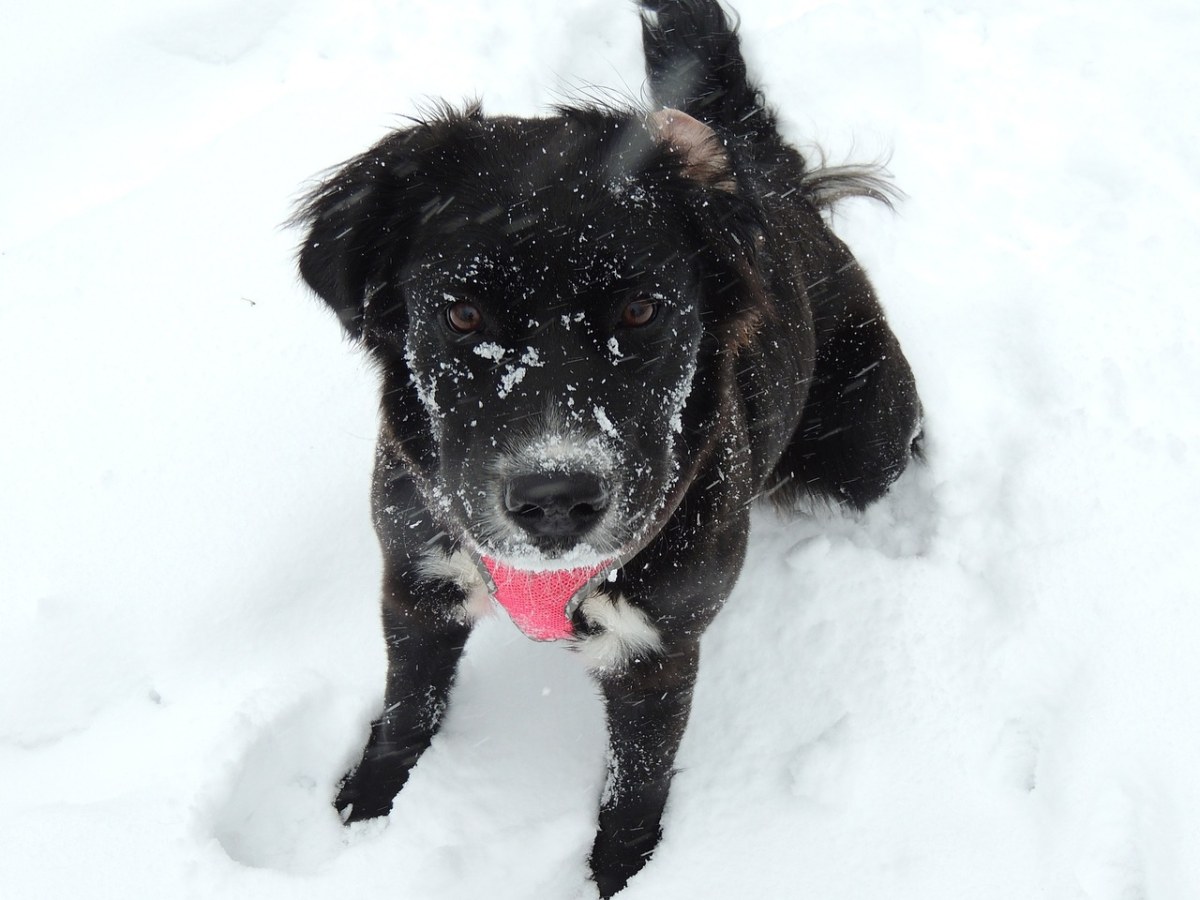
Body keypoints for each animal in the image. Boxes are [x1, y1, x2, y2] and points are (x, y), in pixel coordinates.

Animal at [290, 0, 916, 892]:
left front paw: (621, 875)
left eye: (641, 312)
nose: (556, 501)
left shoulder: (658, 648)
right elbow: (409, 707)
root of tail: (778, 185)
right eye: (463, 315)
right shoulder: (417, 578)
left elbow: (638, 779)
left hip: (869, 442)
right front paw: (367, 805)